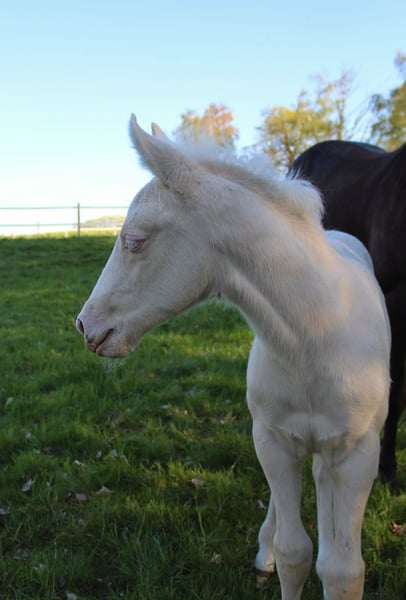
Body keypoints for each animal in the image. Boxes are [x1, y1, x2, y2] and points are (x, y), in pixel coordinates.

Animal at [76, 116, 390, 600]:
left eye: (134, 241)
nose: (86, 326)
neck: (314, 335)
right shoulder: (272, 440)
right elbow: (295, 553)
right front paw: (273, 556)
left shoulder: (359, 454)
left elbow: (343, 571)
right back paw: (266, 553)